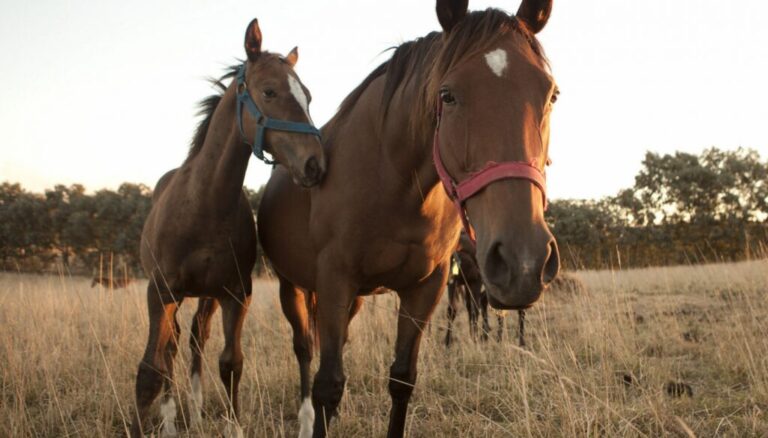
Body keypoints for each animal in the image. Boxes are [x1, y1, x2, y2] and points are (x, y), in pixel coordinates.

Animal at [131, 18, 325, 437]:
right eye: (269, 91)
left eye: (307, 96)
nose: (316, 164)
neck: (203, 204)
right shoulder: (160, 292)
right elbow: (151, 370)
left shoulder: (236, 293)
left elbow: (231, 363)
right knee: (171, 349)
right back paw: (171, 419)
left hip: (207, 296)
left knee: (196, 339)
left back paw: (196, 410)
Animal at [258, 1, 560, 436]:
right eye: (447, 95)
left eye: (551, 94)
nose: (522, 262)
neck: (393, 184)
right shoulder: (333, 281)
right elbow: (327, 384)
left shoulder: (425, 288)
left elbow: (402, 378)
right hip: (294, 287)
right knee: (304, 351)